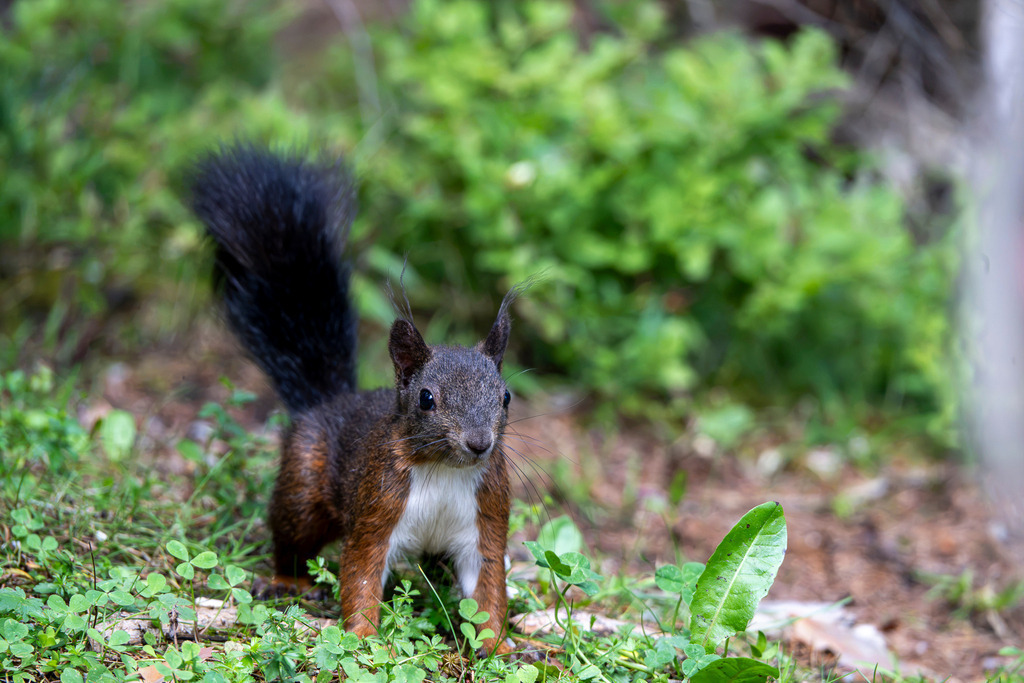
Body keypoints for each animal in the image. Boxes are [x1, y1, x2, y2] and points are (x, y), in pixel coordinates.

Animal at [187, 144, 520, 656]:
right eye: (427, 398)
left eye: (505, 397)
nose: (479, 443)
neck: (444, 471)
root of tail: (331, 402)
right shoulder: (376, 508)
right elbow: (361, 572)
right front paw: (364, 639)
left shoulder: (485, 520)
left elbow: (486, 591)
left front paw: (500, 648)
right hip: (303, 485)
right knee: (292, 537)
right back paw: (289, 581)